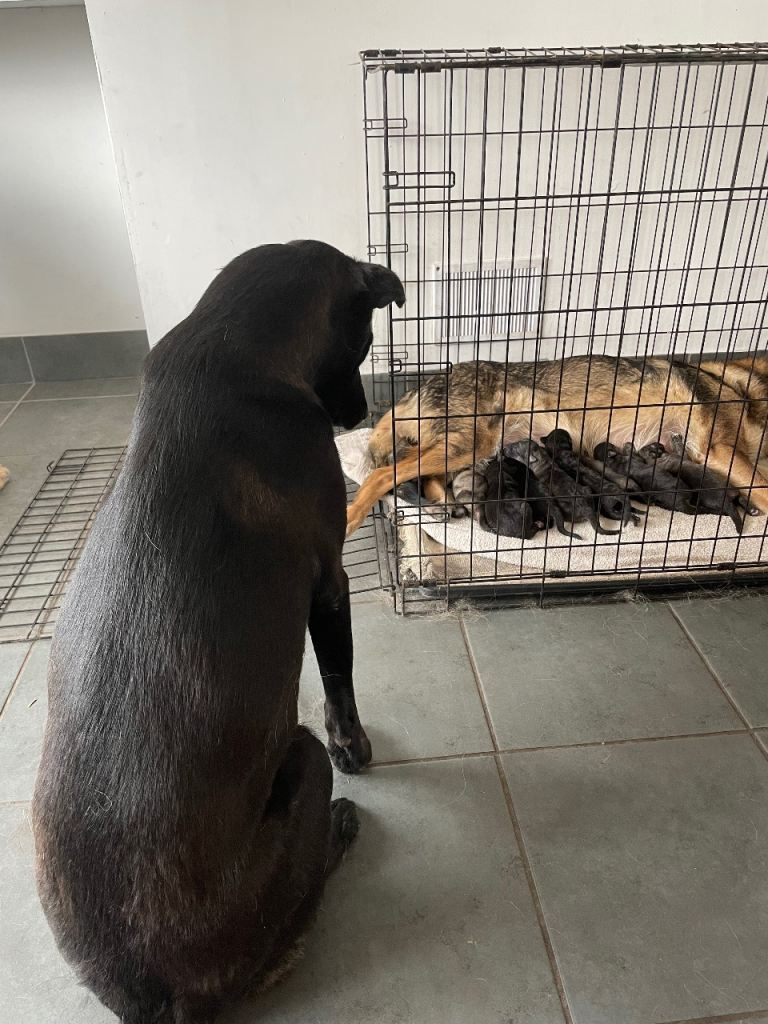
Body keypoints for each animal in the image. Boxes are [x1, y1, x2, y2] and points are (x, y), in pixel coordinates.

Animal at [31, 241, 405, 1024]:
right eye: (363, 342)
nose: (360, 413)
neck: (231, 346)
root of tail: (154, 994)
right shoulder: (329, 586)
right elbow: (340, 681)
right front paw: (357, 746)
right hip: (301, 760)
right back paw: (341, 827)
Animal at [345, 355, 768, 535]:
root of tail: (419, 387)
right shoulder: (723, 452)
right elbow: (763, 485)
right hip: (467, 444)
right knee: (381, 475)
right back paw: (350, 520)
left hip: (467, 449)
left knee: (420, 475)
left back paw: (444, 505)